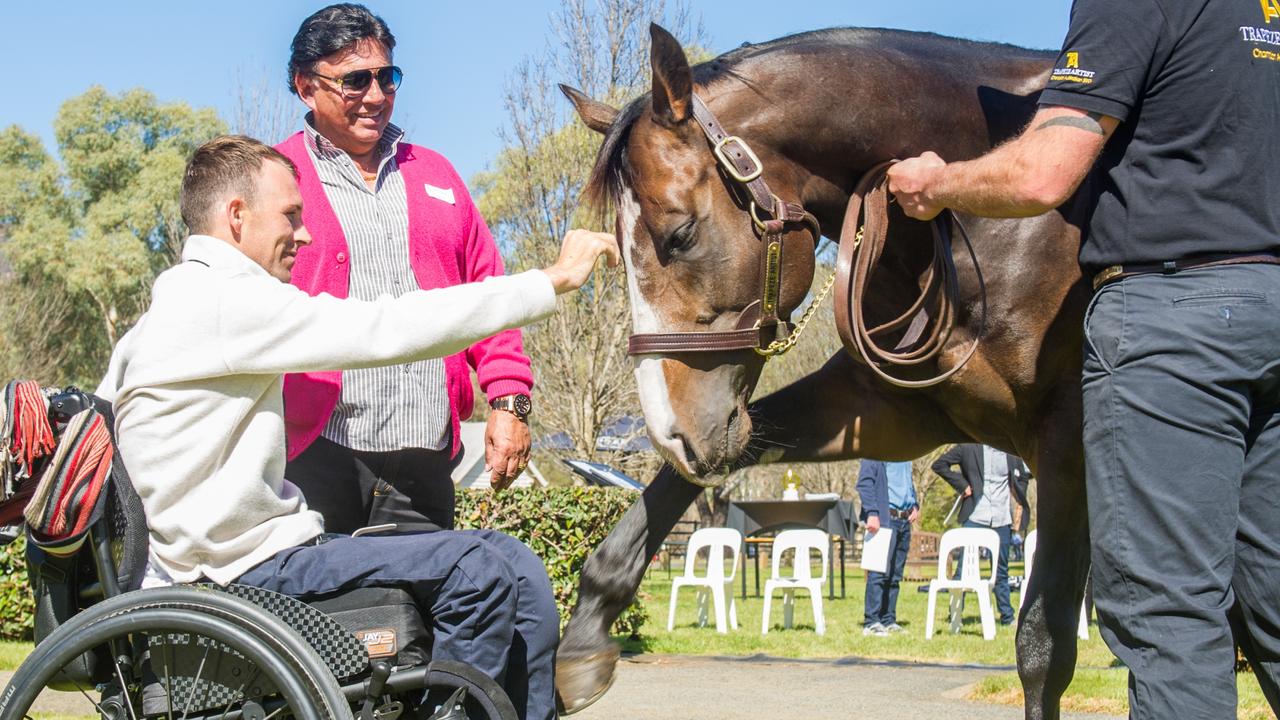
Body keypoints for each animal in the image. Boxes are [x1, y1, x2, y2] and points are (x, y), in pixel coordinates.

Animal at [560, 23, 1090, 717]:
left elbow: (1043, 649)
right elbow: (665, 495)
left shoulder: (1066, 446)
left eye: (679, 235)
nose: (671, 434)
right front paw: (584, 637)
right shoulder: (888, 411)